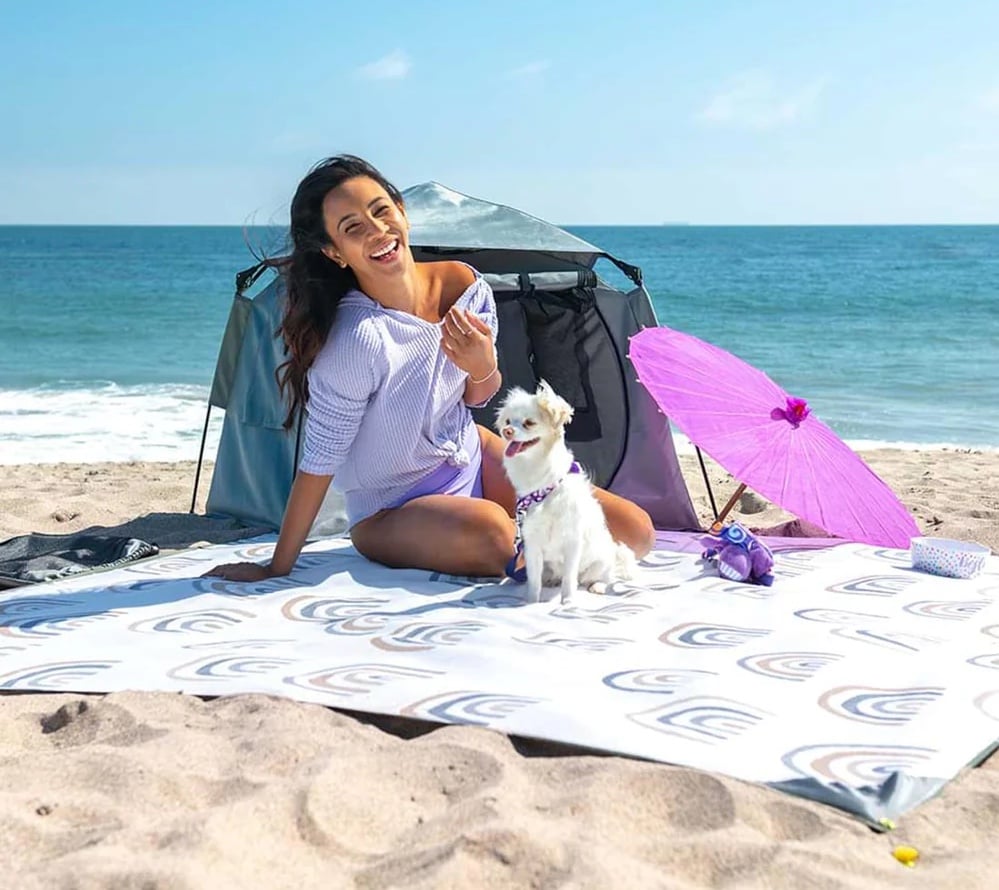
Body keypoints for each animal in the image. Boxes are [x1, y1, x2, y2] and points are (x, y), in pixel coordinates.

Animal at [496, 378, 636, 600]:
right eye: (508, 422)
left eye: (529, 423)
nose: (507, 431)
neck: (543, 488)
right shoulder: (532, 543)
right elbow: (533, 580)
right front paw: (530, 602)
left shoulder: (572, 541)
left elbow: (569, 580)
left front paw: (568, 602)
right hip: (549, 564)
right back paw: (552, 580)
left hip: (601, 561)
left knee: (602, 576)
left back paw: (597, 586)